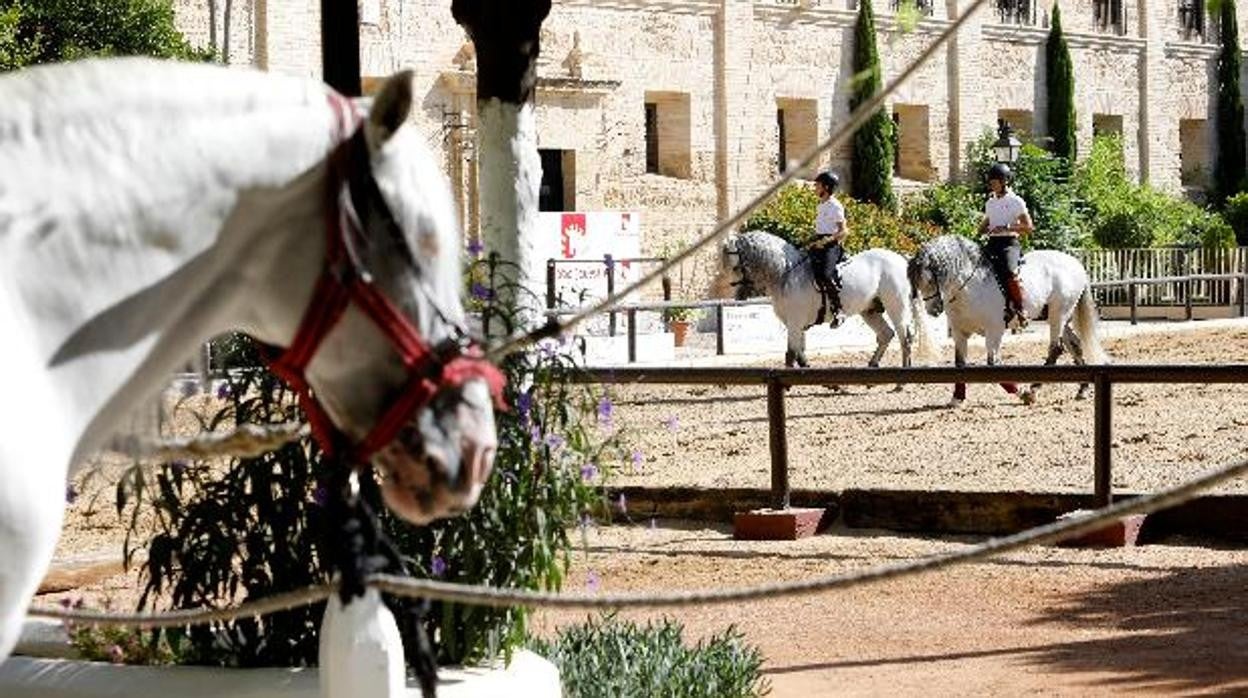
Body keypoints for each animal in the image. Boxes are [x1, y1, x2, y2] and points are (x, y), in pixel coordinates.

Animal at [718, 231, 933, 372]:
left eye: (735, 266)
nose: (736, 296)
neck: (786, 274)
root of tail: (901, 259)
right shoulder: (793, 324)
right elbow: (797, 351)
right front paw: (805, 367)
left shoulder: (795, 322)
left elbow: (791, 353)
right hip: (870, 310)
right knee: (886, 334)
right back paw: (873, 364)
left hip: (897, 307)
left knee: (905, 338)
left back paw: (901, 379)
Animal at [908, 234, 1103, 404]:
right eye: (917, 283)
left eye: (931, 280)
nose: (933, 310)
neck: (970, 287)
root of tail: (1076, 263)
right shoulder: (959, 332)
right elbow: (960, 364)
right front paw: (957, 398)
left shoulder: (994, 331)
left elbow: (993, 365)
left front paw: (1023, 393)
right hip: (1060, 317)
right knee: (1074, 345)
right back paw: (1083, 389)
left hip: (1059, 314)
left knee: (1056, 349)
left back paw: (1033, 389)